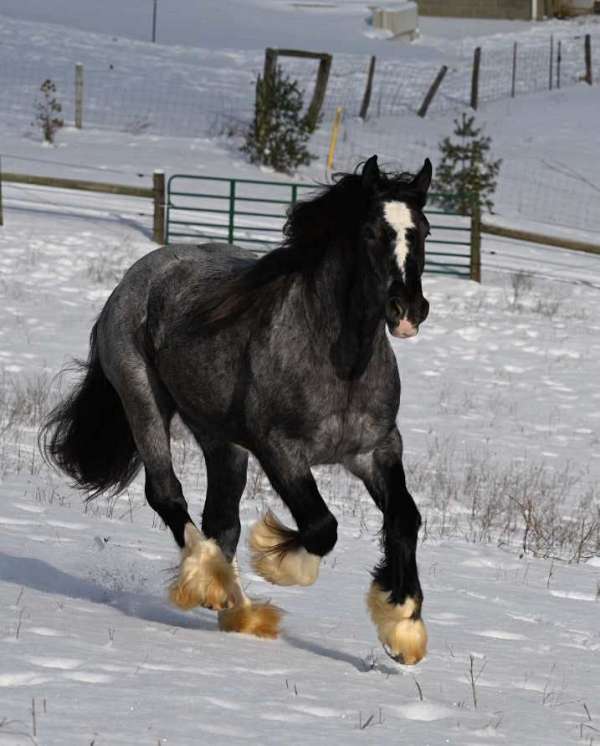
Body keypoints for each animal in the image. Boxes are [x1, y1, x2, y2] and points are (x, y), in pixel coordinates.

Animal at [43, 155, 436, 664]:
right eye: (371, 232)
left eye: (423, 230)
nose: (407, 310)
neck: (340, 364)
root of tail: (138, 275)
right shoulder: (280, 450)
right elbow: (321, 528)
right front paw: (278, 560)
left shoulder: (376, 450)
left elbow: (404, 519)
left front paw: (403, 627)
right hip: (143, 400)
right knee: (167, 494)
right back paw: (215, 587)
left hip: (221, 441)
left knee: (221, 521)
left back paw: (237, 607)